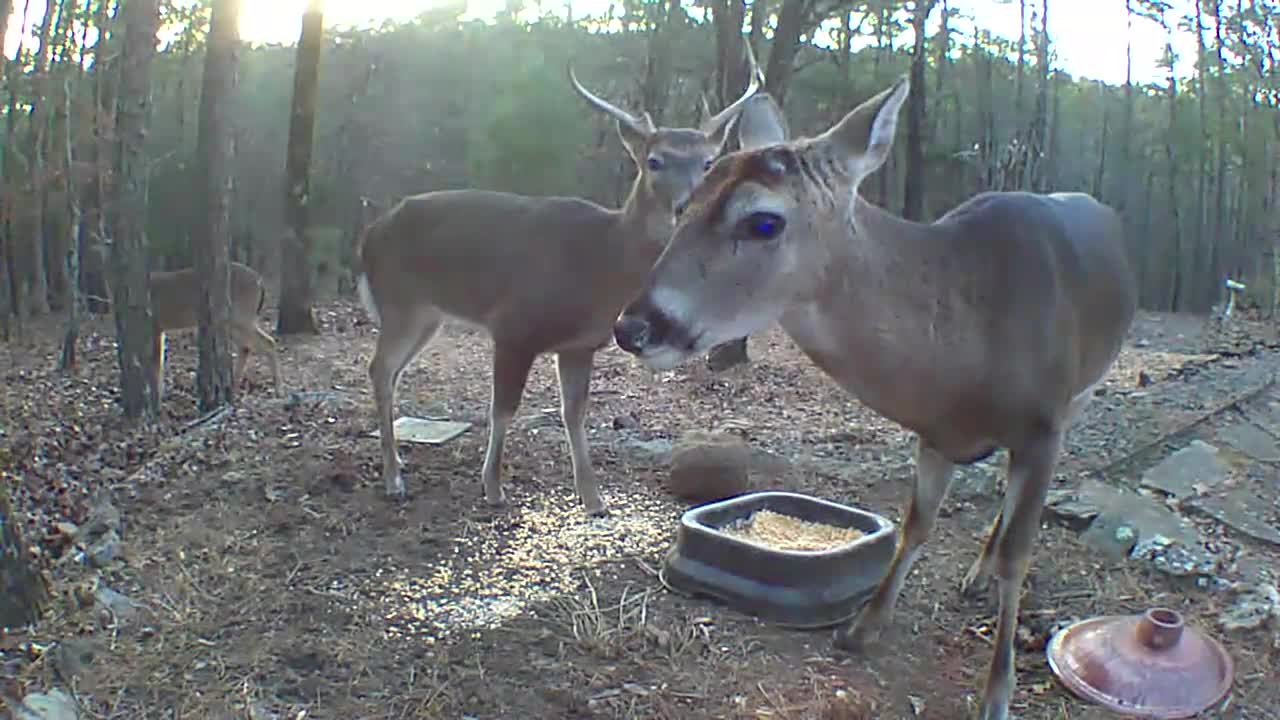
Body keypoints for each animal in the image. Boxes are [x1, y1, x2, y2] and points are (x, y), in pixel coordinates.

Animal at [350, 46, 762, 509]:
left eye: (709, 163)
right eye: (654, 161)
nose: (686, 206)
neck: (601, 264)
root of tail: (368, 236)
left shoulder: (580, 345)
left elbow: (574, 413)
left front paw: (593, 499)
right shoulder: (513, 326)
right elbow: (503, 408)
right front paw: (493, 488)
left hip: (426, 315)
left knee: (391, 371)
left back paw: (398, 464)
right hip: (400, 301)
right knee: (379, 369)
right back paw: (393, 479)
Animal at [609, 75, 1141, 712]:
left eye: (763, 221)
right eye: (684, 204)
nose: (633, 327)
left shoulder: (1043, 424)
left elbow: (1019, 553)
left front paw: (997, 693)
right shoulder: (936, 433)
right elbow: (916, 523)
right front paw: (862, 627)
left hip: (1083, 393)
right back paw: (974, 574)